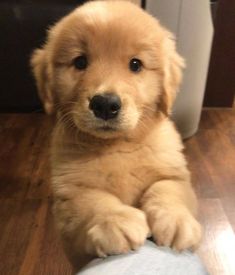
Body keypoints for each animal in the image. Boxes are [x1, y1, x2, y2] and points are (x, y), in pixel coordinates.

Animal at [30, 0, 201, 272]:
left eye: (135, 64)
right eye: (80, 62)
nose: (105, 105)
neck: (117, 145)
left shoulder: (174, 173)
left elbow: (167, 189)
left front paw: (175, 219)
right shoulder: (68, 193)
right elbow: (91, 200)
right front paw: (115, 222)